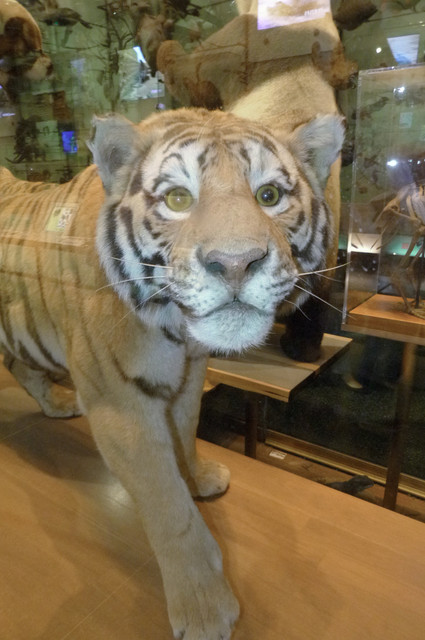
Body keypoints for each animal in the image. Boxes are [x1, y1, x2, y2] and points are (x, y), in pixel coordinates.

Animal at [0, 107, 344, 640]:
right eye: (178, 199)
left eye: (269, 196)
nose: (236, 263)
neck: (176, 329)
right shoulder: (121, 407)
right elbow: (170, 508)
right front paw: (204, 607)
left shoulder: (188, 380)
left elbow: (187, 437)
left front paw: (200, 478)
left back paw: (58, 404)